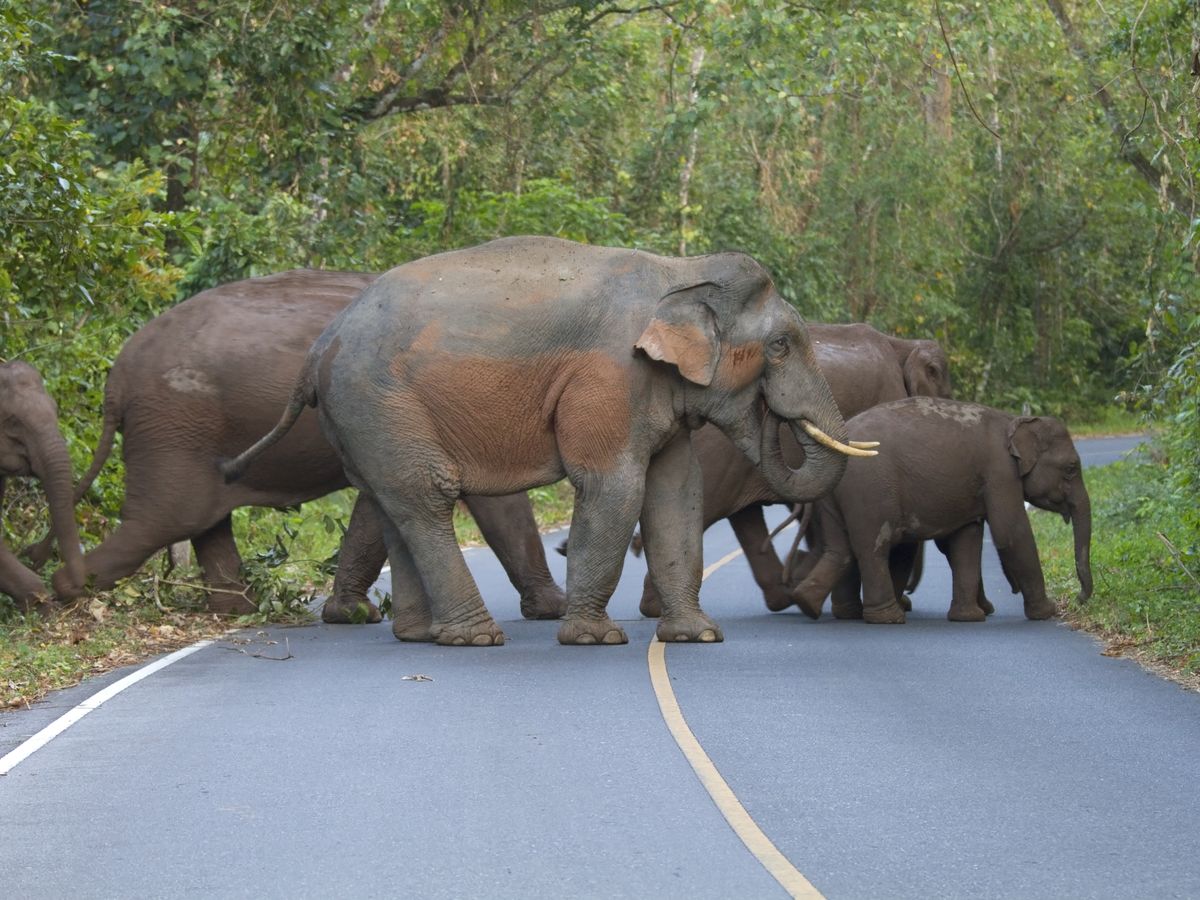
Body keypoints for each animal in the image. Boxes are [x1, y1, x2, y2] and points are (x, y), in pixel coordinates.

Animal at [41, 269, 566, 622]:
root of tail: (116, 379)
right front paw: (553, 609)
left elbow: (378, 505)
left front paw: (348, 614)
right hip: (172, 427)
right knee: (165, 520)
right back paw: (63, 592)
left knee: (203, 522)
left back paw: (239, 611)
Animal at [221, 236, 874, 647]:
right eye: (782, 346)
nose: (773, 416)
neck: (679, 271)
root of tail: (318, 348)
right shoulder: (611, 378)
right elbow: (613, 487)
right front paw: (595, 638)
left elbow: (676, 496)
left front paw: (700, 636)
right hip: (378, 402)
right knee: (426, 495)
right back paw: (475, 638)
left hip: (363, 417)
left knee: (390, 501)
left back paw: (419, 635)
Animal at [790, 397, 1093, 624]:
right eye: (1071, 468)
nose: (1078, 599)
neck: (1014, 421)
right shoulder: (999, 472)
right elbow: (1010, 533)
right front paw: (1046, 612)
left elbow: (967, 538)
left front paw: (968, 617)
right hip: (869, 489)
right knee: (873, 547)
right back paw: (887, 618)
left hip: (837, 495)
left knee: (840, 549)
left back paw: (811, 605)